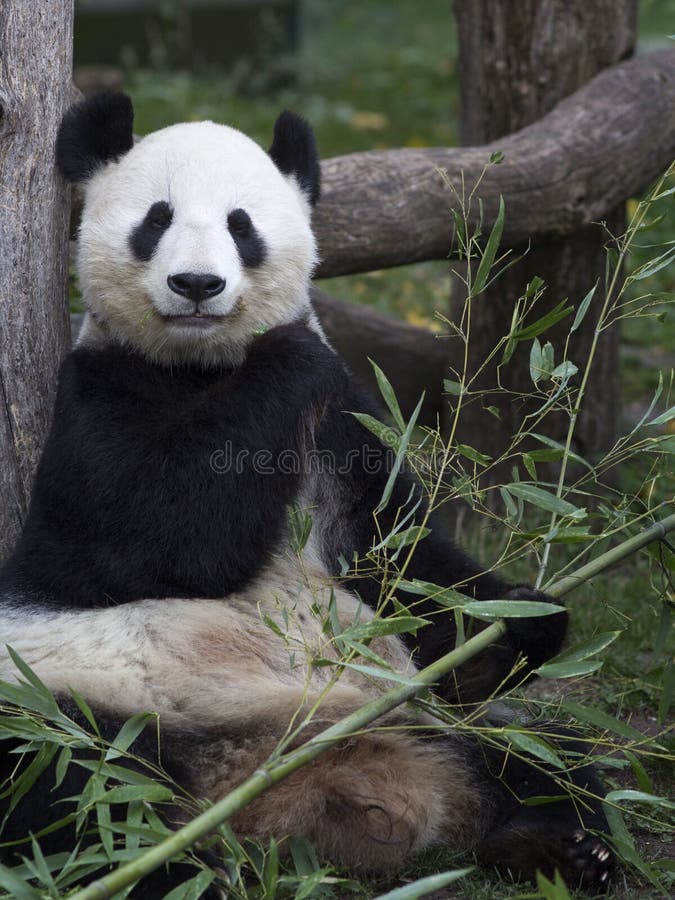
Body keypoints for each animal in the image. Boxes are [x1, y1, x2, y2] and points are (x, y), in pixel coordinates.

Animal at [0, 95, 616, 896]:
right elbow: (139, 544)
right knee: (71, 781)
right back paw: (173, 868)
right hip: (77, 701)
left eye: (241, 225)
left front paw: (510, 628)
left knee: (541, 756)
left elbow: (400, 556)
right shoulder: (98, 394)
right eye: (156, 220)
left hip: (409, 716)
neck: (205, 367)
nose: (196, 285)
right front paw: (280, 352)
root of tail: (279, 787)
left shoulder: (343, 425)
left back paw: (558, 845)